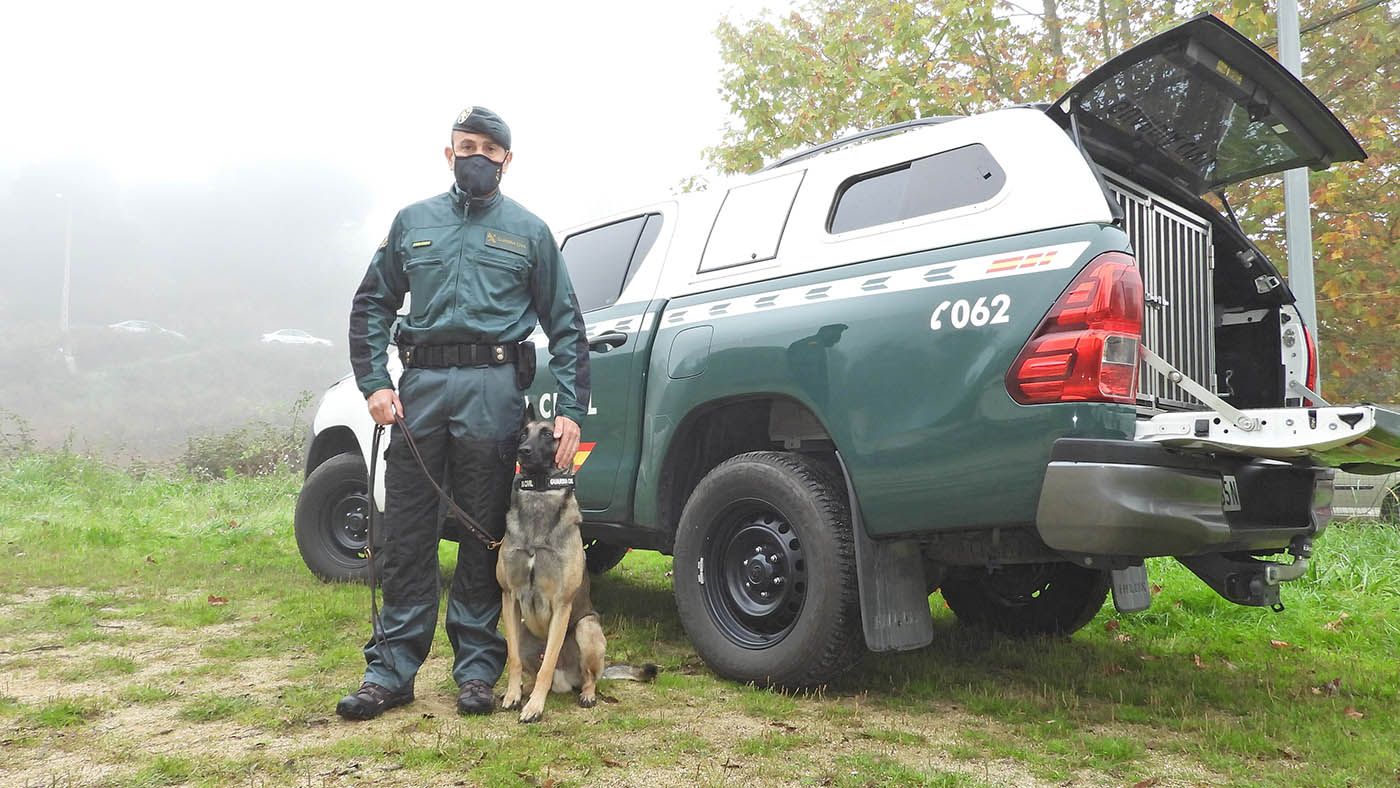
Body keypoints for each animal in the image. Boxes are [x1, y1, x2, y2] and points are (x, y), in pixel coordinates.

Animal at [498, 417, 655, 722]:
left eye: (548, 435)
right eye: (523, 434)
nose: (522, 451)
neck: (540, 495)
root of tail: (565, 681)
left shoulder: (562, 605)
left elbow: (547, 663)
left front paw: (535, 707)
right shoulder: (509, 596)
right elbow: (513, 659)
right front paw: (513, 695)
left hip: (587, 628)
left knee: (588, 677)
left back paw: (586, 694)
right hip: (524, 634)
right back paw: (527, 690)